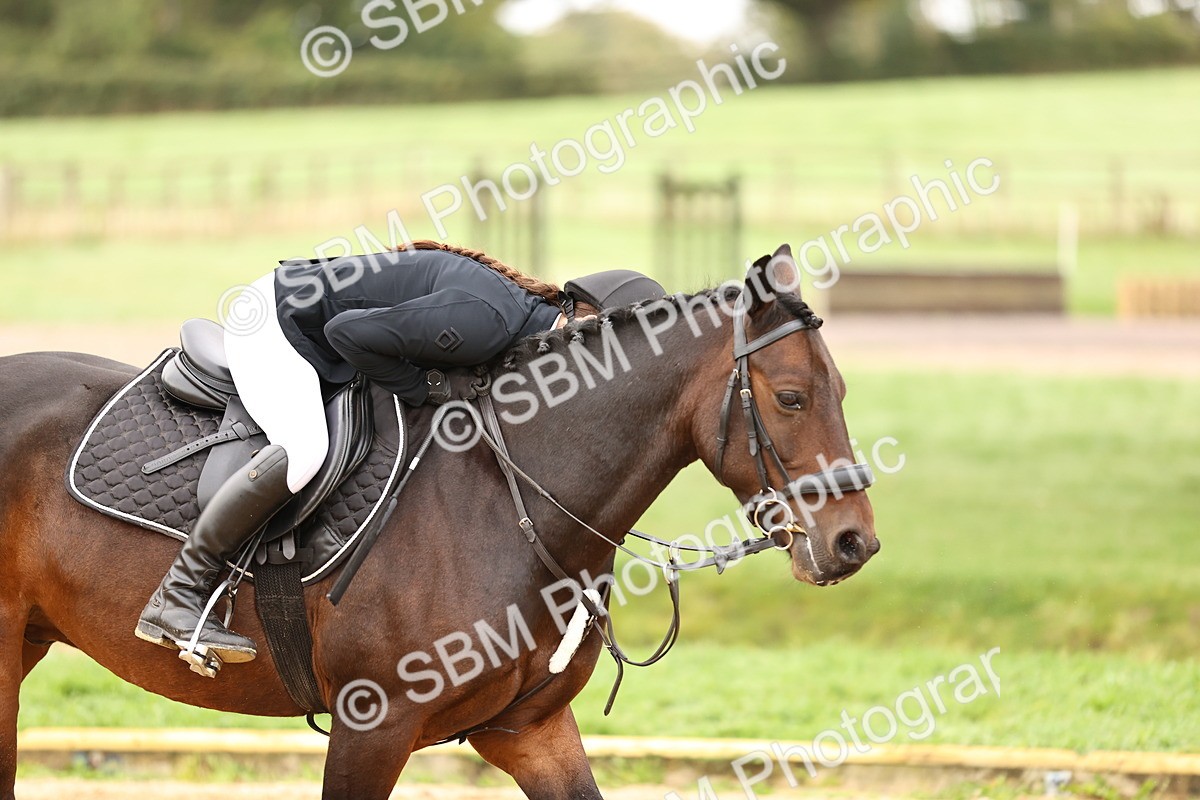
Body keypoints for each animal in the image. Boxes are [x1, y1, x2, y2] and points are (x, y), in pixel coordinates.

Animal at [0, 248, 878, 799]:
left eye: (842, 392)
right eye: (791, 397)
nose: (854, 542)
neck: (512, 499)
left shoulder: (529, 728)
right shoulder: (372, 725)